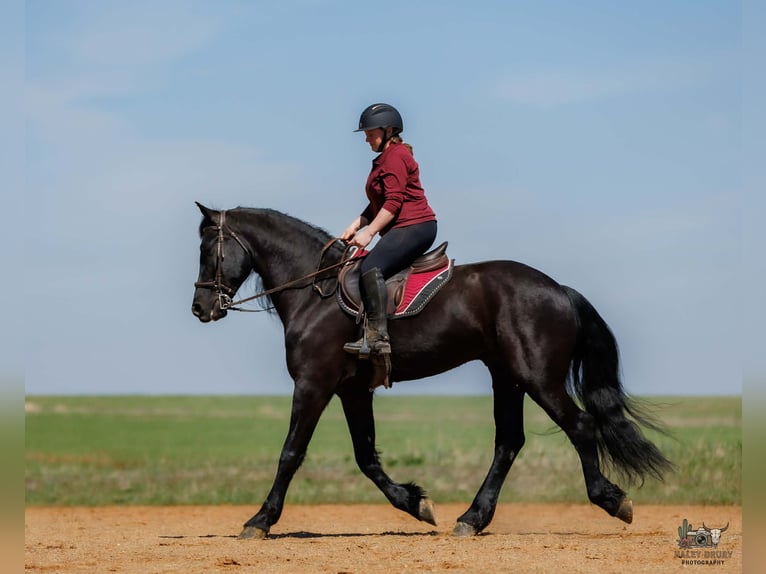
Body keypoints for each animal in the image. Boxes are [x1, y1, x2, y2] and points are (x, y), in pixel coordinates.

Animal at [190, 202, 672, 539]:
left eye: (205, 250)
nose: (200, 308)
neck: (316, 291)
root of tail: (558, 289)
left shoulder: (314, 384)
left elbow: (291, 453)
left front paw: (259, 520)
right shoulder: (353, 391)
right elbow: (366, 457)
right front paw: (416, 504)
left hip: (538, 378)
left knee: (580, 426)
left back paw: (612, 500)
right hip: (507, 377)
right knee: (508, 443)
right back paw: (472, 518)